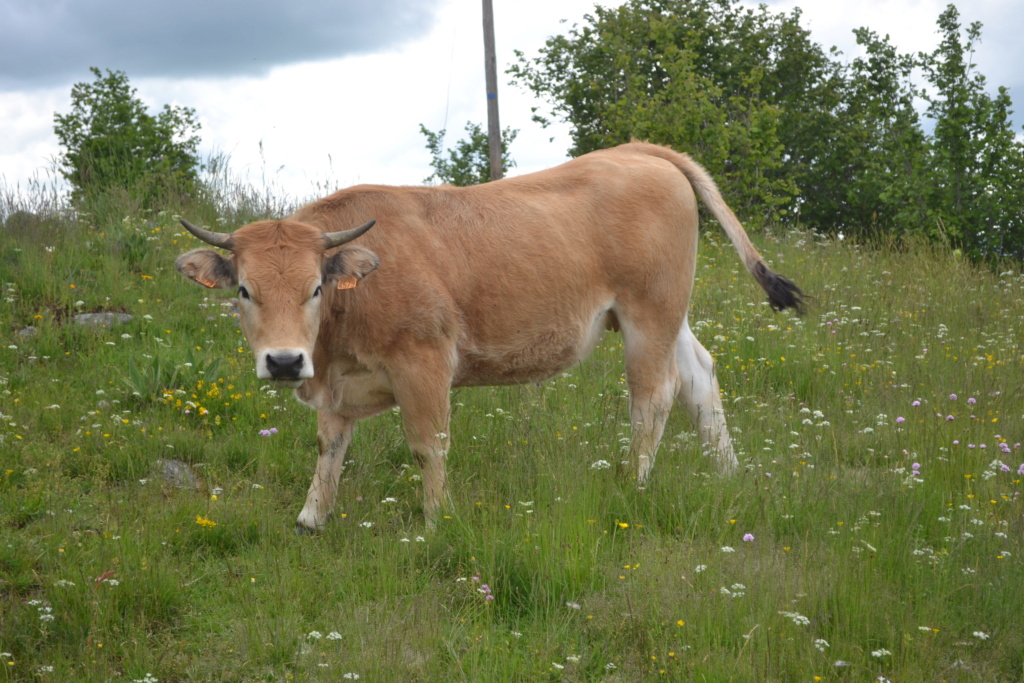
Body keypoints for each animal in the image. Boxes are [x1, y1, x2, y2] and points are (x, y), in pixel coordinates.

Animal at [174, 141, 798, 532]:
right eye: (245, 291)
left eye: (314, 289)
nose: (283, 362)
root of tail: (637, 150)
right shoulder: (334, 379)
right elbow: (330, 446)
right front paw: (311, 518)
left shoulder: (422, 363)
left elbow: (428, 446)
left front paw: (435, 521)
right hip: (671, 315)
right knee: (699, 378)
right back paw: (728, 476)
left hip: (649, 314)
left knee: (654, 396)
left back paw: (633, 483)